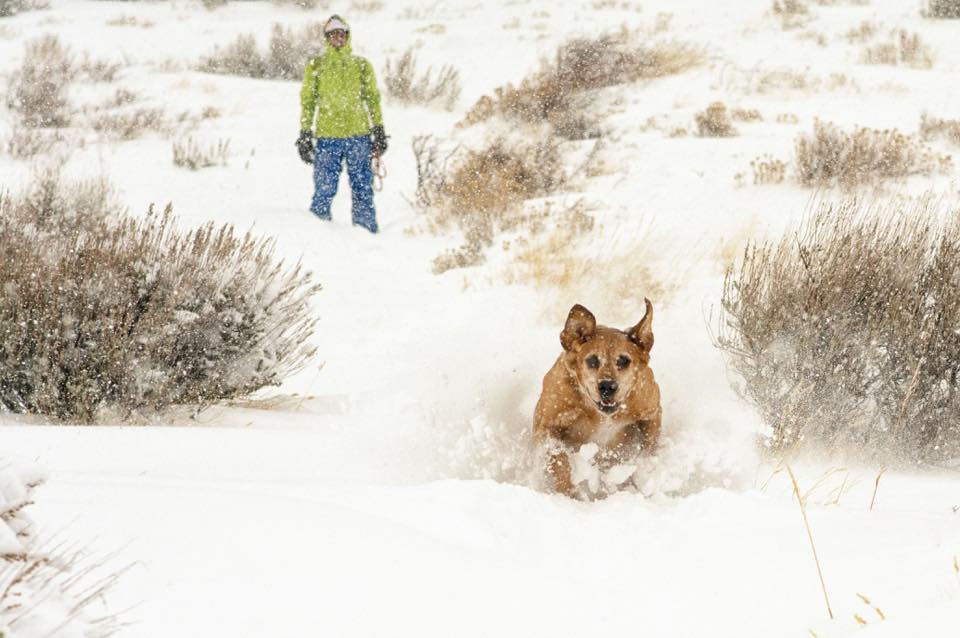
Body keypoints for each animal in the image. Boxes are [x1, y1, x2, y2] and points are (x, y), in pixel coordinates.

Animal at [532, 300, 660, 500]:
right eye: (592, 360)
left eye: (624, 360)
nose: (607, 386)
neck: (600, 415)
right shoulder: (548, 424)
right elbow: (559, 458)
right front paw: (568, 489)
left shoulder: (650, 410)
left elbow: (648, 447)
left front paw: (643, 474)